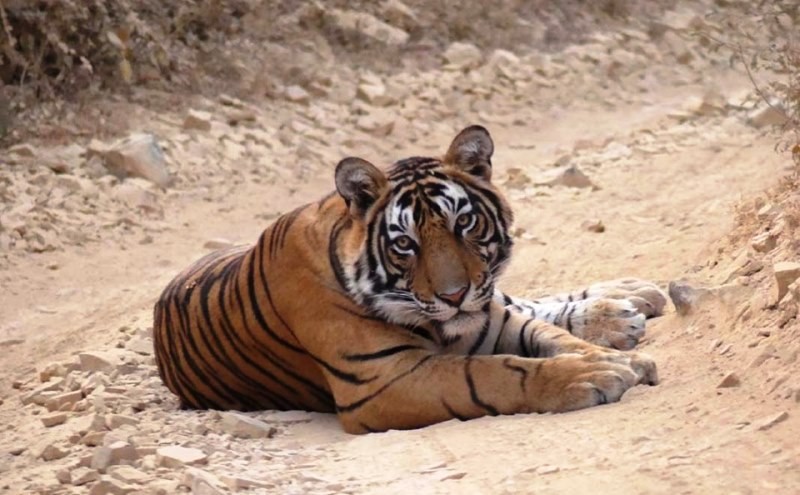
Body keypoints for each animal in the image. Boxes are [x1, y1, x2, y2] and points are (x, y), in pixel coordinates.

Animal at [153, 125, 666, 434]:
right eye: (405, 244)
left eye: (464, 223)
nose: (455, 295)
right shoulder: (383, 380)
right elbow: (495, 372)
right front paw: (595, 372)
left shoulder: (491, 319)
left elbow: (552, 336)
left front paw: (616, 359)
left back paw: (629, 299)